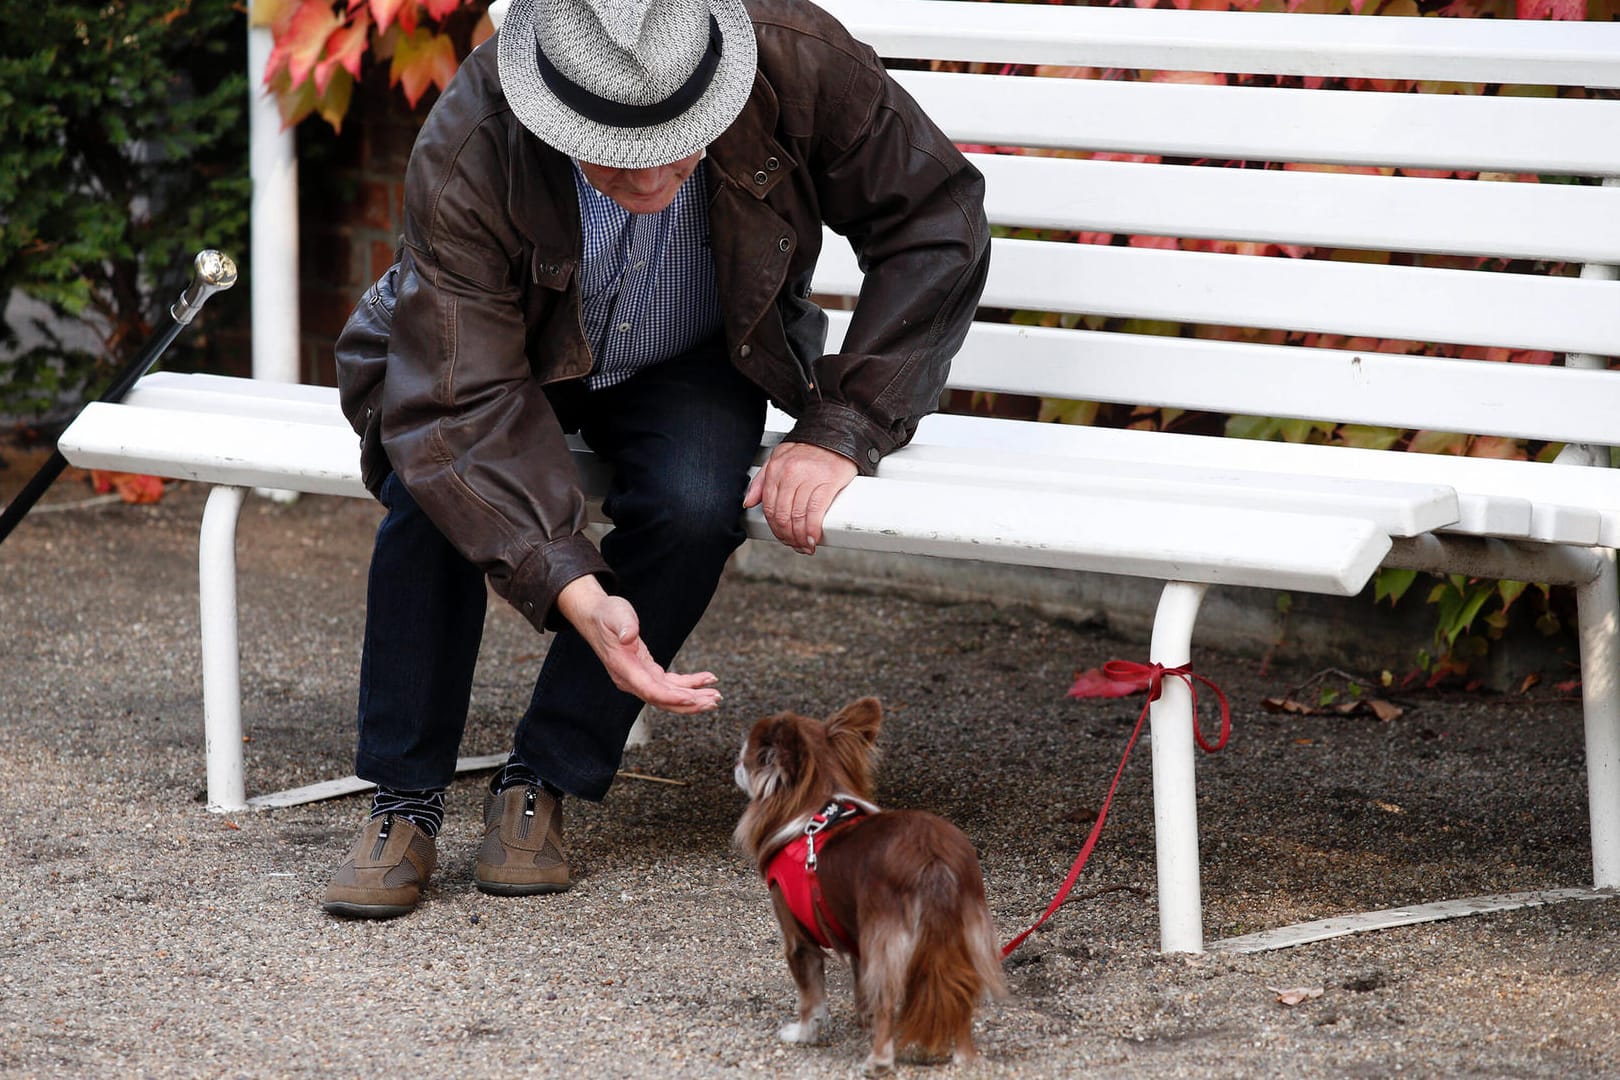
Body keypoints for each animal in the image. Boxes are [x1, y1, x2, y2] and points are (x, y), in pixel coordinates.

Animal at [732, 696, 997, 1075]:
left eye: (747, 759)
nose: (734, 762)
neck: (813, 812)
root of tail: (932, 858)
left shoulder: (799, 938)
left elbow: (811, 997)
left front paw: (803, 1033)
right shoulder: (853, 932)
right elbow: (860, 985)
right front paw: (862, 1020)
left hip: (888, 938)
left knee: (889, 998)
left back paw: (879, 1060)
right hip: (959, 933)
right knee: (958, 988)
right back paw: (964, 1057)